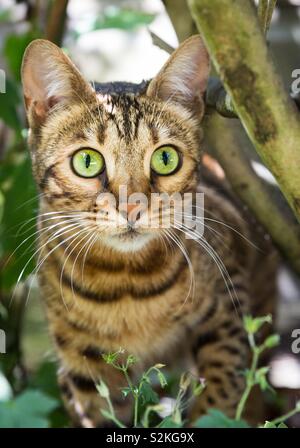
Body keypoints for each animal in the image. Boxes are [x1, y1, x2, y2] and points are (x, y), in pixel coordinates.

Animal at [20, 35, 276, 428]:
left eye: (165, 158)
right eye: (87, 161)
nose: (132, 207)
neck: (126, 285)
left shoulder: (229, 310)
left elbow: (220, 395)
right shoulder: (80, 365)